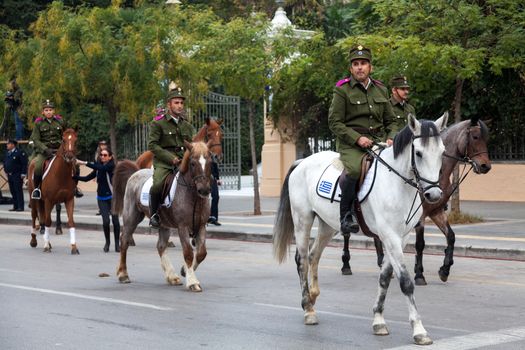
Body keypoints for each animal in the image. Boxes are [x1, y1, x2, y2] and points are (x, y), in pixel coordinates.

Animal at [113, 141, 213, 292]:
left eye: (210, 161)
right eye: (193, 163)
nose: (204, 190)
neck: (193, 196)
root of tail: (136, 172)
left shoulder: (200, 226)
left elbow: (202, 253)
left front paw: (184, 271)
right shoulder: (183, 227)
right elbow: (188, 253)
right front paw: (192, 281)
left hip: (164, 224)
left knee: (161, 246)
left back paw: (172, 276)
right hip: (131, 217)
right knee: (124, 240)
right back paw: (123, 274)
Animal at [272, 114, 448, 344]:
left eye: (442, 152)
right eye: (418, 153)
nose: (434, 195)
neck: (397, 184)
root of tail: (303, 162)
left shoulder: (401, 237)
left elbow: (385, 277)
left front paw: (378, 320)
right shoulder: (389, 236)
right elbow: (405, 281)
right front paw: (419, 330)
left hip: (328, 225)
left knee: (313, 255)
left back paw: (313, 296)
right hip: (303, 220)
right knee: (302, 261)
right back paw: (308, 309)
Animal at [340, 117, 492, 284]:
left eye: (486, 138)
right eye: (475, 137)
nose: (485, 166)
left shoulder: (436, 211)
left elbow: (451, 237)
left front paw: (445, 269)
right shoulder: (420, 216)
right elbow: (420, 244)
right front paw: (419, 274)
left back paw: (382, 263)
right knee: (347, 234)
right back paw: (346, 265)